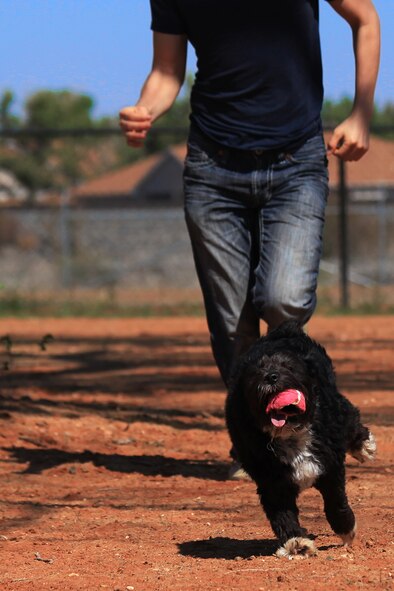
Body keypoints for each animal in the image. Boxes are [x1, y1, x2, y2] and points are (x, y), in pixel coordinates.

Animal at [225, 322, 376, 556]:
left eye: (288, 367)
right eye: (257, 370)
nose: (271, 376)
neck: (290, 433)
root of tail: (283, 332)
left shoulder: (330, 467)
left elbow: (335, 502)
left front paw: (346, 528)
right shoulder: (271, 482)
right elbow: (282, 515)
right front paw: (296, 542)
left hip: (337, 405)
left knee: (350, 418)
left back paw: (363, 446)